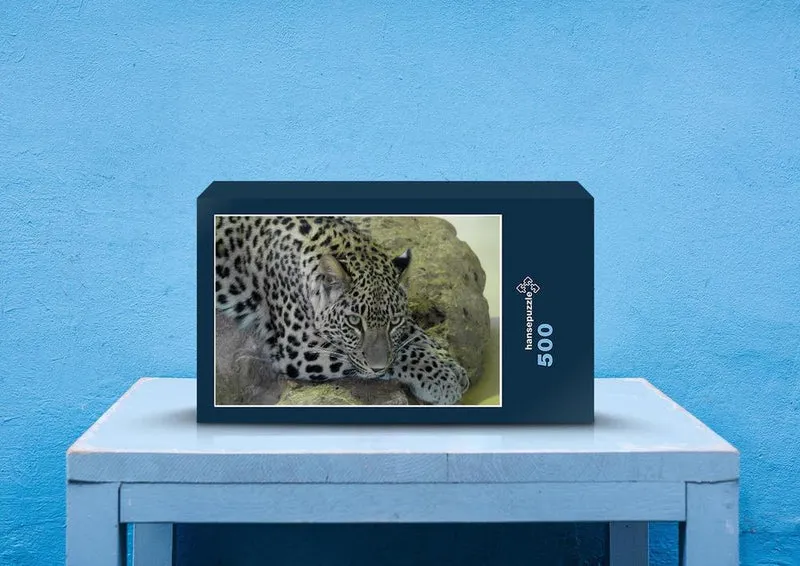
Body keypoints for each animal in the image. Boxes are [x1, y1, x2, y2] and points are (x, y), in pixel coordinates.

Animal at [214, 215, 471, 405]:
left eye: (394, 322)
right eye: (354, 322)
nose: (377, 367)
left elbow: (410, 335)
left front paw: (447, 362)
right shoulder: (298, 349)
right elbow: (394, 355)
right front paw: (440, 377)